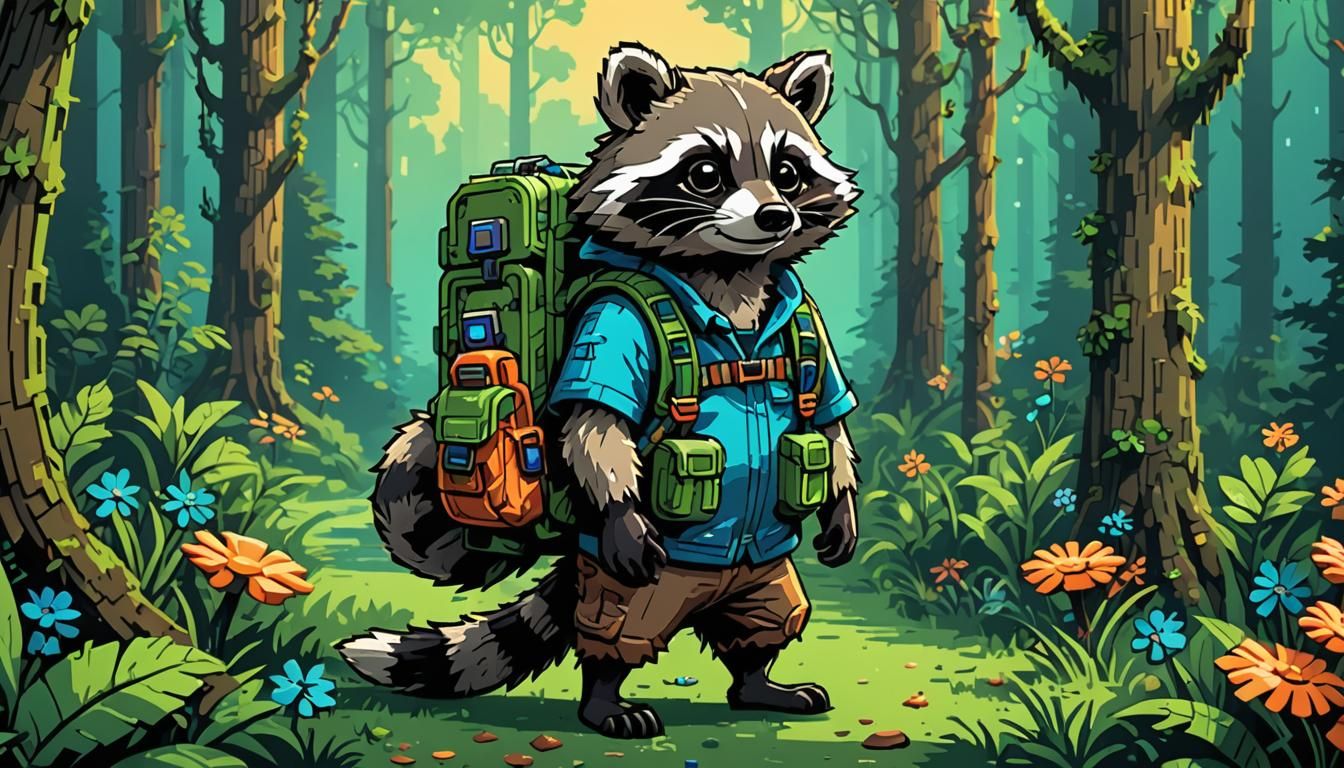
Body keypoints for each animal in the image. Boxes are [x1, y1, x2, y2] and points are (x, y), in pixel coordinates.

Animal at [340, 43, 861, 741]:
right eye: (705, 173)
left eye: (788, 172)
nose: (775, 215)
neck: (729, 281)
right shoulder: (615, 320)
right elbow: (596, 422)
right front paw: (622, 516)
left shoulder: (806, 323)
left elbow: (827, 419)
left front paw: (841, 505)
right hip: (647, 577)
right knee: (622, 623)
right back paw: (606, 696)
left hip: (761, 565)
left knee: (768, 608)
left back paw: (757, 680)